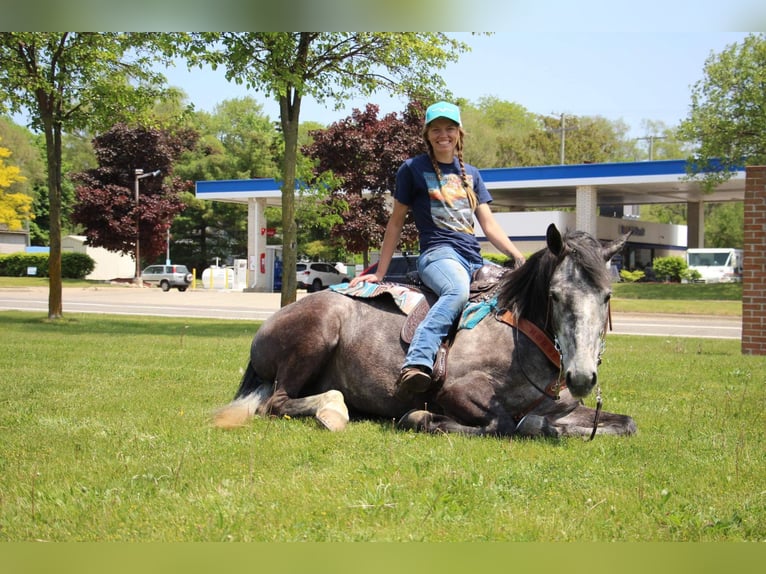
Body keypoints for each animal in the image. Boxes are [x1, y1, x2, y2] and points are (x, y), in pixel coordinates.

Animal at [214, 225, 636, 440]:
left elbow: (625, 424)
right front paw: (421, 418)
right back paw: (332, 410)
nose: (581, 377)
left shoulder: (561, 407)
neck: (519, 335)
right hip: (318, 334)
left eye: (606, 295)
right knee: (277, 402)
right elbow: (501, 424)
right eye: (554, 295)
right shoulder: (456, 392)